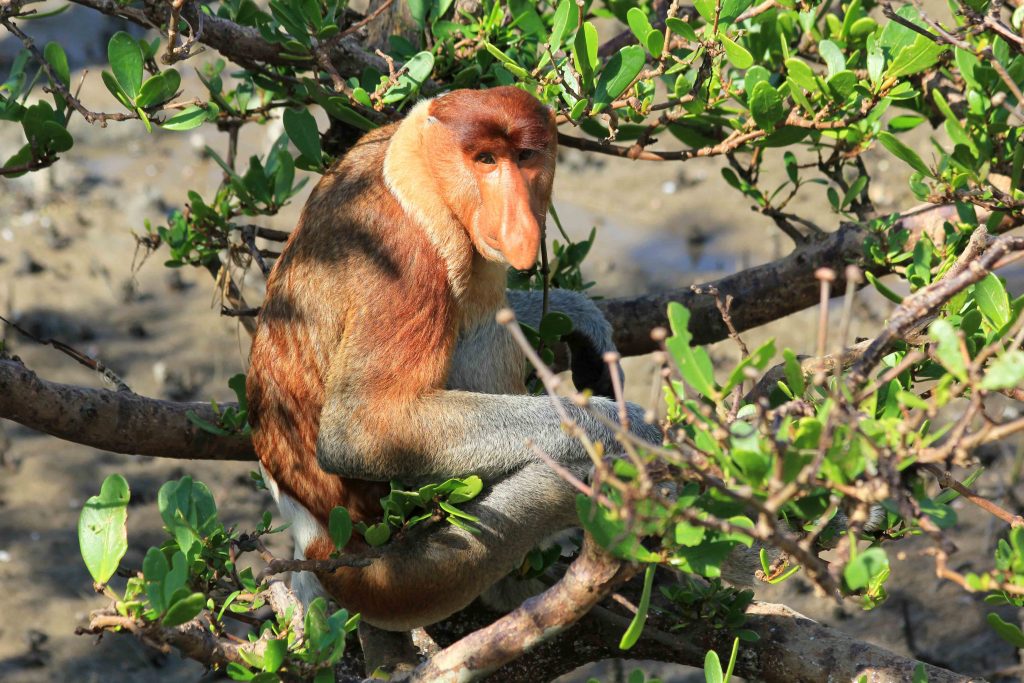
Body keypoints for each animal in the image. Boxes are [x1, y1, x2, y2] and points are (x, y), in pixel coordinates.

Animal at [251, 88, 659, 634]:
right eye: (484, 160)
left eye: (525, 157)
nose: (519, 226)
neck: (416, 167)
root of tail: (320, 539)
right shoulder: (407, 264)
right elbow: (361, 430)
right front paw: (630, 430)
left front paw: (583, 322)